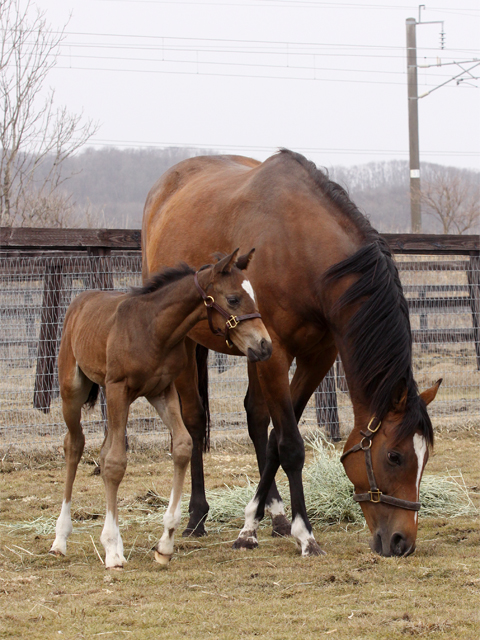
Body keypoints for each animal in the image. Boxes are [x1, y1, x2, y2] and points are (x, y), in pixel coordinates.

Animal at [51, 248, 274, 568]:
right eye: (233, 299)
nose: (265, 345)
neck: (154, 328)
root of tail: (81, 299)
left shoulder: (162, 390)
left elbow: (181, 446)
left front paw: (165, 544)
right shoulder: (119, 388)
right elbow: (116, 463)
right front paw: (113, 550)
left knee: (102, 450)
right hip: (74, 390)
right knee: (74, 444)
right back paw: (60, 539)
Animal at [143, 149, 442, 556]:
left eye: (426, 458)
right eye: (395, 456)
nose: (402, 542)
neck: (300, 248)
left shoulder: (316, 355)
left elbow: (274, 439)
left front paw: (254, 525)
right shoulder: (276, 353)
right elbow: (291, 445)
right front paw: (305, 534)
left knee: (255, 416)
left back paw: (275, 516)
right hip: (189, 344)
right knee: (193, 420)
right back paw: (197, 517)